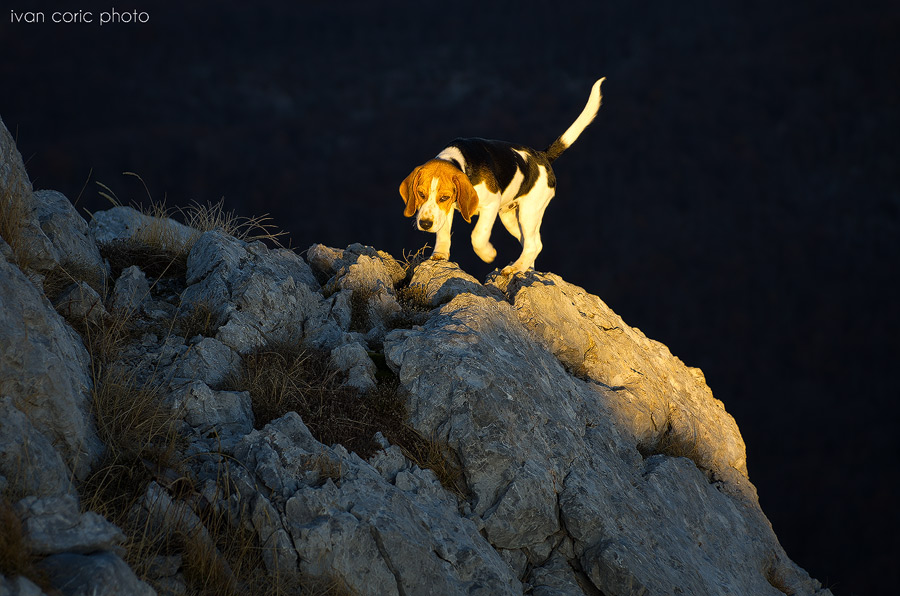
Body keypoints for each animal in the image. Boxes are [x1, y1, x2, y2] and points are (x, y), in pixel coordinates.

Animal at [400, 75, 604, 278]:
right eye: (420, 194)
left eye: (444, 197)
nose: (425, 224)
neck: (460, 161)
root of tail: (542, 156)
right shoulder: (447, 210)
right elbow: (443, 232)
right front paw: (440, 254)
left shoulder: (490, 204)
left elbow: (478, 235)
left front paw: (488, 254)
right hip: (511, 218)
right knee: (531, 243)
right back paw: (526, 268)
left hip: (529, 212)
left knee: (534, 244)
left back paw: (515, 268)